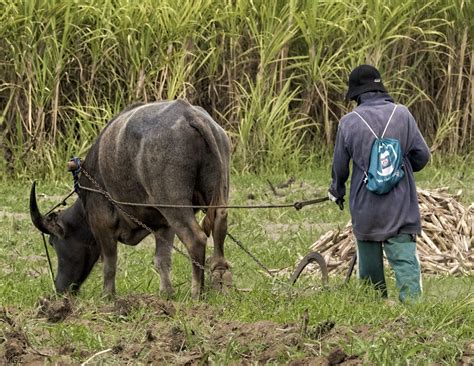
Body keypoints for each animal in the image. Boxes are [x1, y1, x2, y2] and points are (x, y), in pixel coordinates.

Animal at [29, 99, 231, 298]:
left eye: (53, 242)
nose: (59, 288)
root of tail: (190, 114)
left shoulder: (101, 223)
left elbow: (109, 263)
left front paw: (107, 295)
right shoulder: (163, 225)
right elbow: (162, 260)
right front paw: (166, 293)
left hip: (175, 205)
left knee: (196, 239)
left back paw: (196, 292)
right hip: (216, 191)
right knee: (219, 224)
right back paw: (220, 279)